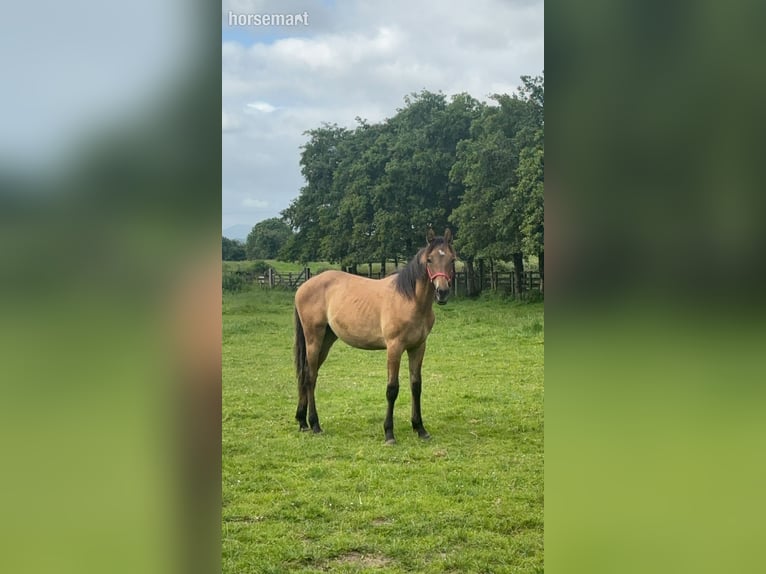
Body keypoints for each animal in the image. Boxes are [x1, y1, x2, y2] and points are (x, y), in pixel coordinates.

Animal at [293, 228, 457, 444]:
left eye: (452, 259)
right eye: (429, 260)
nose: (442, 292)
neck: (410, 300)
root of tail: (303, 286)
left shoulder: (418, 347)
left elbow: (416, 386)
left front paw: (420, 429)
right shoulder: (394, 347)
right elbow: (392, 389)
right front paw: (389, 434)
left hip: (327, 340)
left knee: (305, 374)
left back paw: (302, 422)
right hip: (314, 338)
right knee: (310, 376)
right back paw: (315, 424)